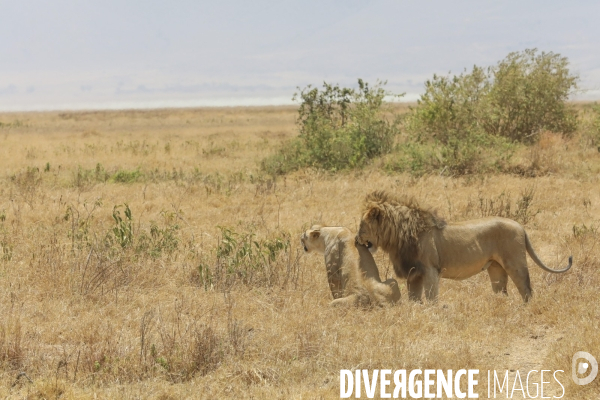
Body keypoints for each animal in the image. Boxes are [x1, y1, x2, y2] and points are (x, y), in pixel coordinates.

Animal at [356, 192, 572, 302]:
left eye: (361, 226)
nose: (356, 239)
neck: (398, 238)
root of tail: (520, 226)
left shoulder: (430, 270)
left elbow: (432, 298)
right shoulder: (413, 273)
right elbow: (414, 299)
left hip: (515, 262)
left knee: (526, 288)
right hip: (496, 268)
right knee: (502, 291)